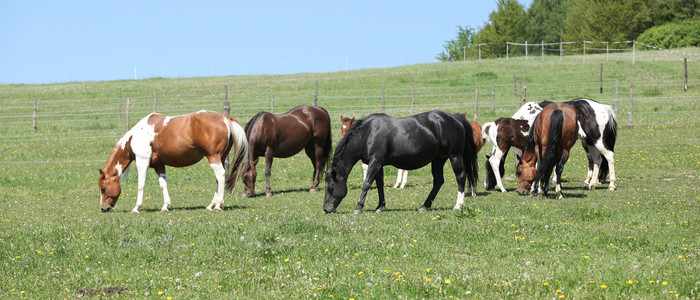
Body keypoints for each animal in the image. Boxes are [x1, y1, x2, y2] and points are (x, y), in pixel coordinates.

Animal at [97, 110, 250, 213]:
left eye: (103, 188)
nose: (103, 208)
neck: (134, 138)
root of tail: (225, 118)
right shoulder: (159, 165)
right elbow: (163, 185)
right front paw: (165, 206)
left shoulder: (142, 162)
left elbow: (141, 185)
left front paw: (136, 207)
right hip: (220, 158)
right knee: (219, 179)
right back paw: (210, 205)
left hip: (213, 158)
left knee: (221, 176)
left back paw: (218, 205)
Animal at [484, 98, 616, 192]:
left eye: (487, 169)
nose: (486, 185)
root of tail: (605, 108)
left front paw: (538, 186)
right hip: (590, 142)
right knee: (597, 160)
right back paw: (591, 184)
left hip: (596, 141)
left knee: (608, 156)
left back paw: (611, 185)